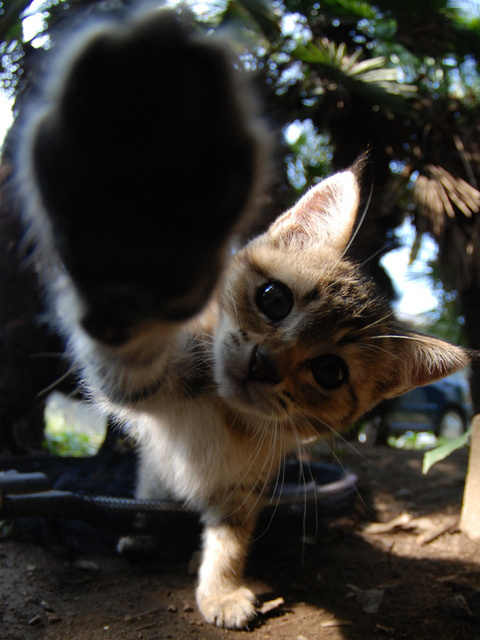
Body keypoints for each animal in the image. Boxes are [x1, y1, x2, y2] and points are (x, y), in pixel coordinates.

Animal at [16, 5, 470, 632]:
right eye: (274, 299)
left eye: (330, 373)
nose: (263, 364)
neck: (230, 421)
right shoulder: (152, 379)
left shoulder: (247, 487)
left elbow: (230, 536)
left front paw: (221, 587)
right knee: (152, 494)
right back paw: (142, 532)